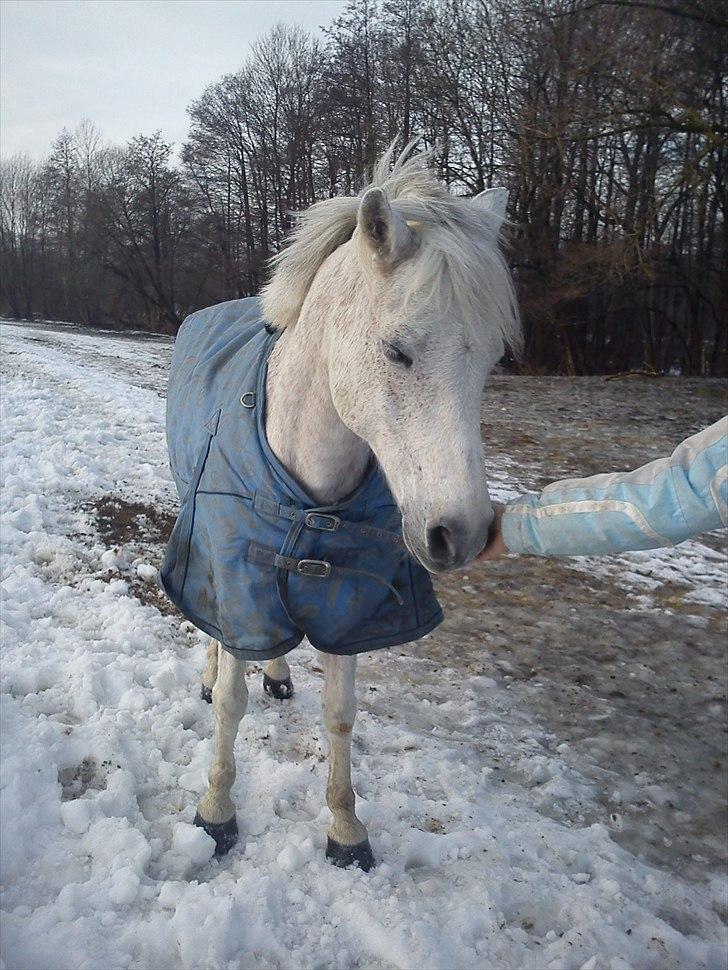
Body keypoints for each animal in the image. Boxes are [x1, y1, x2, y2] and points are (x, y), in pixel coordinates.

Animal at [195, 146, 524, 868]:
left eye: (491, 361)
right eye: (397, 351)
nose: (461, 533)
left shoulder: (345, 599)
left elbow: (341, 714)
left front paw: (346, 829)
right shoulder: (237, 569)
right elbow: (230, 701)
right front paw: (216, 812)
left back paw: (279, 674)